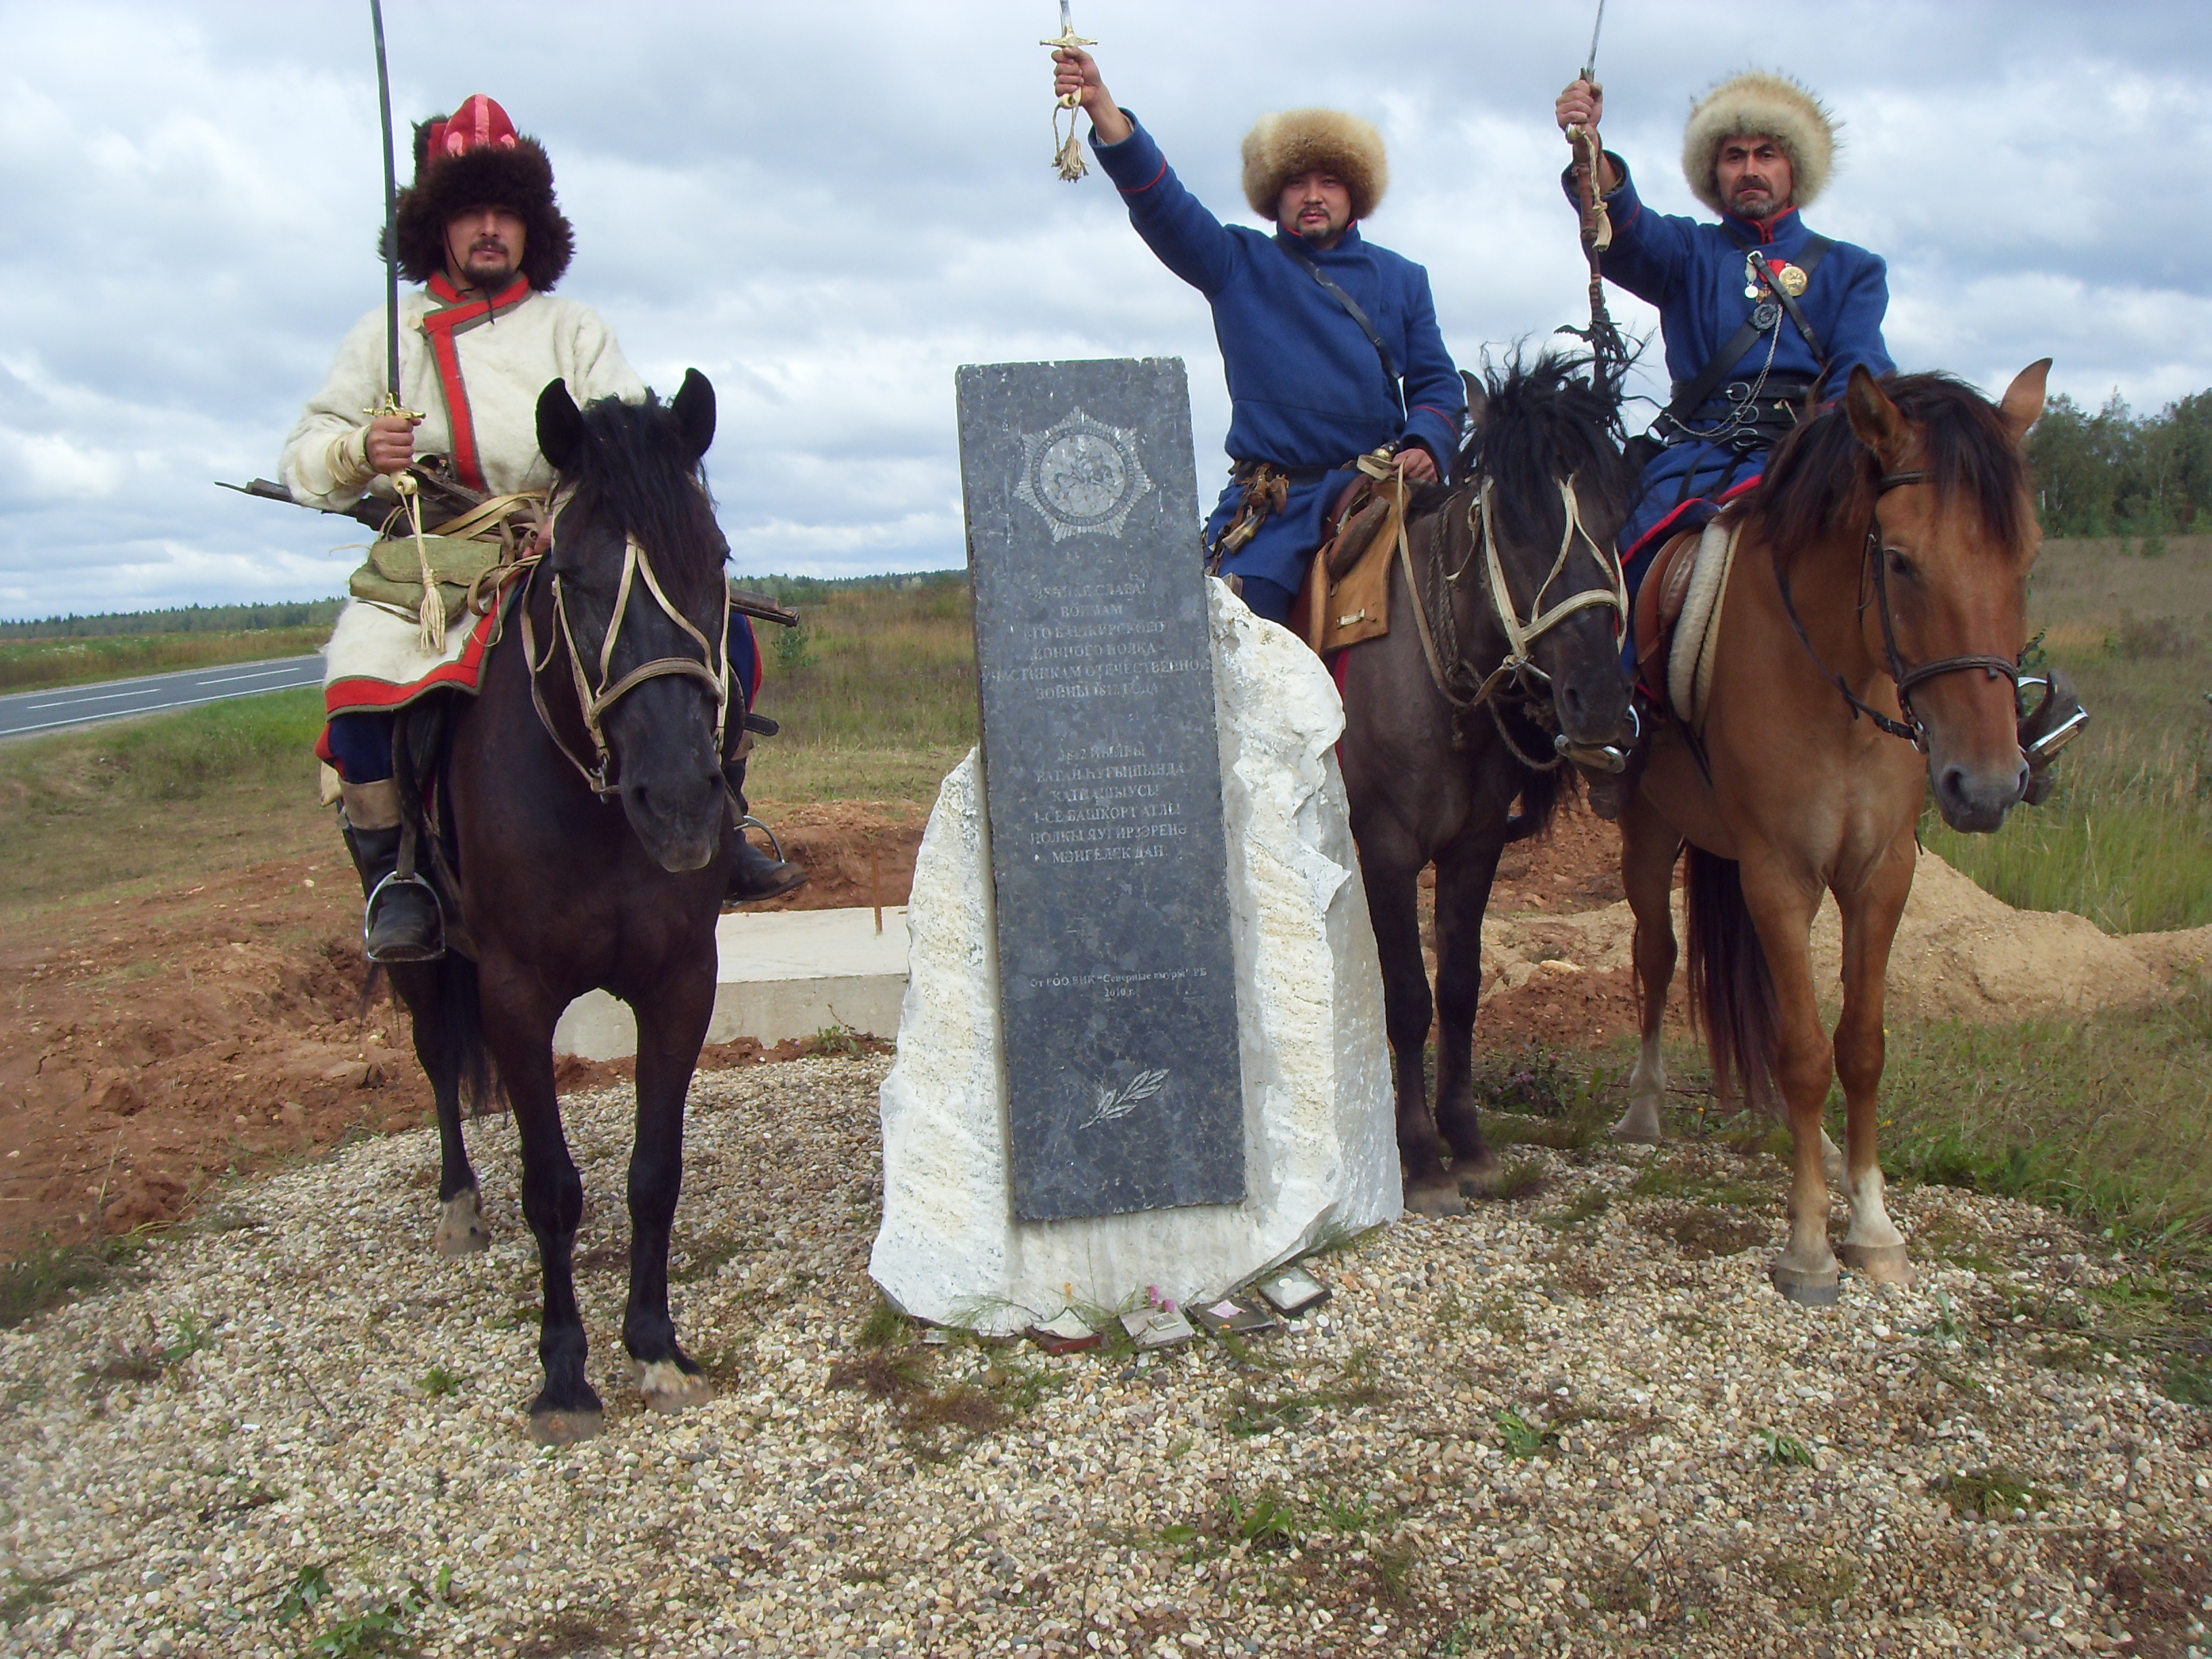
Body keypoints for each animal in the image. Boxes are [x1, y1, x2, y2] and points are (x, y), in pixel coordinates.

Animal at [389, 369, 734, 1451]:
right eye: (574, 579)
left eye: (714, 562)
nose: (682, 805)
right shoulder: (513, 993)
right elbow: (552, 1186)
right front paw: (564, 1373)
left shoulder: (682, 981)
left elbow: (653, 1171)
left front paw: (656, 1346)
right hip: (424, 959)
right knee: (435, 1061)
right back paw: (459, 1204)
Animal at [1327, 358, 1645, 1221]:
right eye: (1514, 524)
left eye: (1616, 515)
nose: (1598, 704)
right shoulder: (1387, 852)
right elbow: (1408, 997)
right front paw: (1419, 1159)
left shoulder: (1474, 851)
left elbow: (1462, 987)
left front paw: (1466, 1144)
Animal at [1610, 363, 2052, 1309]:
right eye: (1899, 559)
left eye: (2026, 558)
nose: (1987, 786)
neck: (1840, 680)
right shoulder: (1779, 874)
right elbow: (1806, 1052)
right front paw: (1810, 1245)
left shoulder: (1880, 875)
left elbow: (1862, 1046)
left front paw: (1874, 1226)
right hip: (1650, 831)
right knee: (1657, 956)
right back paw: (1644, 1108)